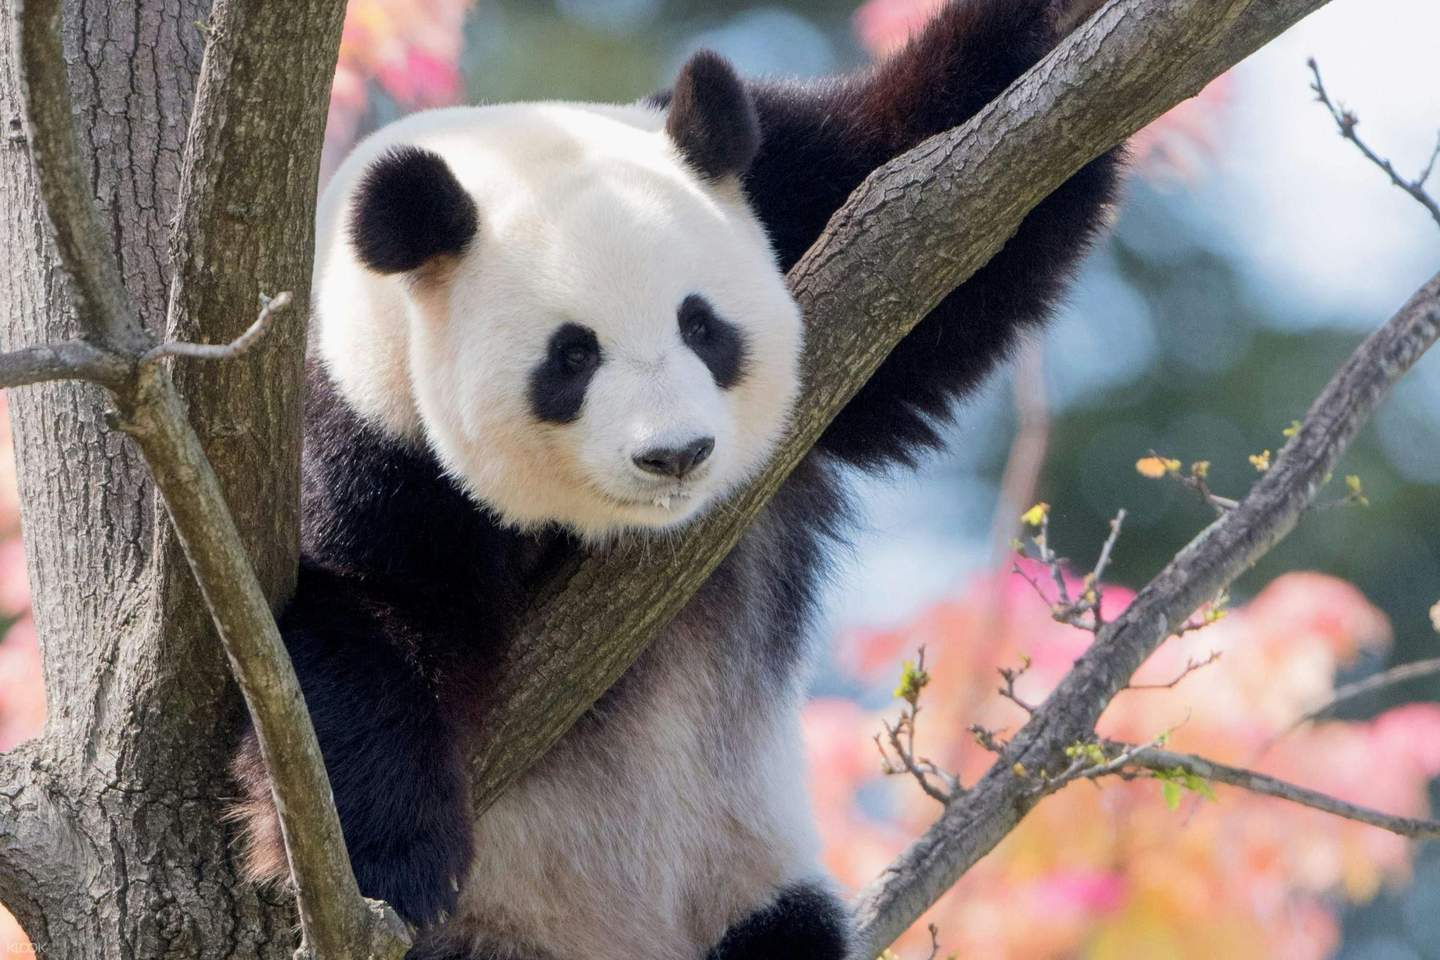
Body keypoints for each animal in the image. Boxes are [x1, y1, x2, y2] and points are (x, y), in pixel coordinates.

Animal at [229, 1, 1121, 958]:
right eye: (571, 356)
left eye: (702, 325)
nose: (676, 454)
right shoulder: (356, 429)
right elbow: (350, 618)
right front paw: (393, 861)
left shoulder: (794, 191)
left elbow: (961, 200)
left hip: (743, 874)